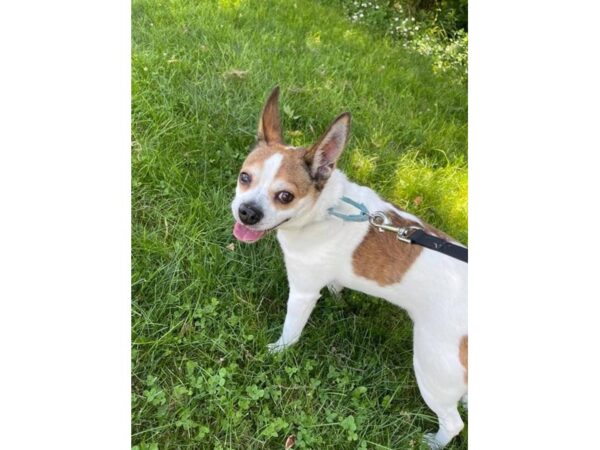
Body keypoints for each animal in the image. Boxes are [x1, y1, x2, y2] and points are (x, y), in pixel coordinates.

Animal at [231, 88, 468, 450]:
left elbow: (291, 330)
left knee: (453, 422)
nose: (247, 212)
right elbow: (337, 286)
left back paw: (434, 441)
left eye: (285, 196)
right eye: (245, 178)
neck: (326, 209)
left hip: (433, 367)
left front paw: (277, 351)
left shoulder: (302, 294)